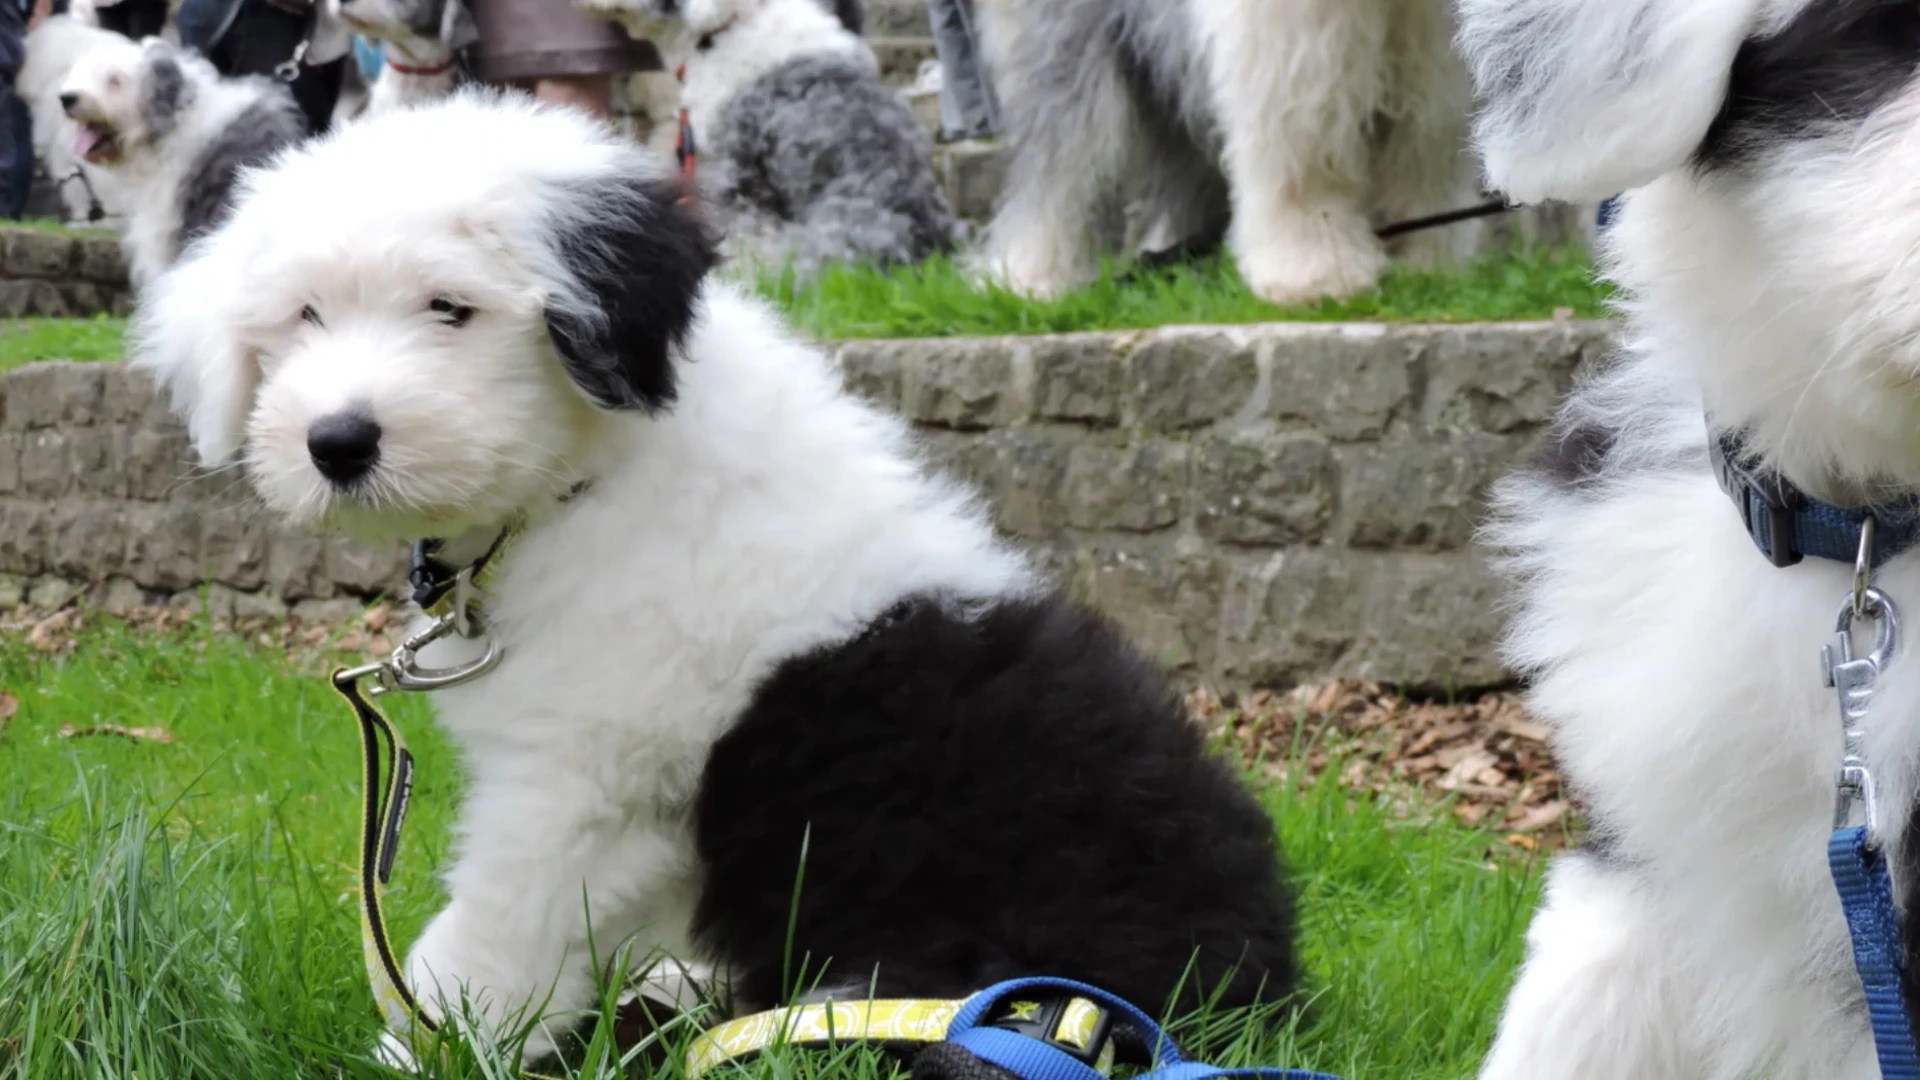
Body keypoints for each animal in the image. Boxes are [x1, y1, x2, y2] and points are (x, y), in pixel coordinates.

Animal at [131, 92, 1305, 1068]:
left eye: (450, 308)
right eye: (304, 317)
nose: (337, 442)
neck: (584, 481)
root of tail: (1259, 988)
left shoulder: (583, 784)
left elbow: (485, 941)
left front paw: (424, 1048)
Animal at [975, 0, 1482, 305]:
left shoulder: (1430, 81)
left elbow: (1422, 168)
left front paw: (1431, 266)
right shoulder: (1291, 65)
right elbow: (1303, 173)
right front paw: (1312, 275)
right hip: (1074, 60)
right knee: (1058, 176)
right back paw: (1026, 279)